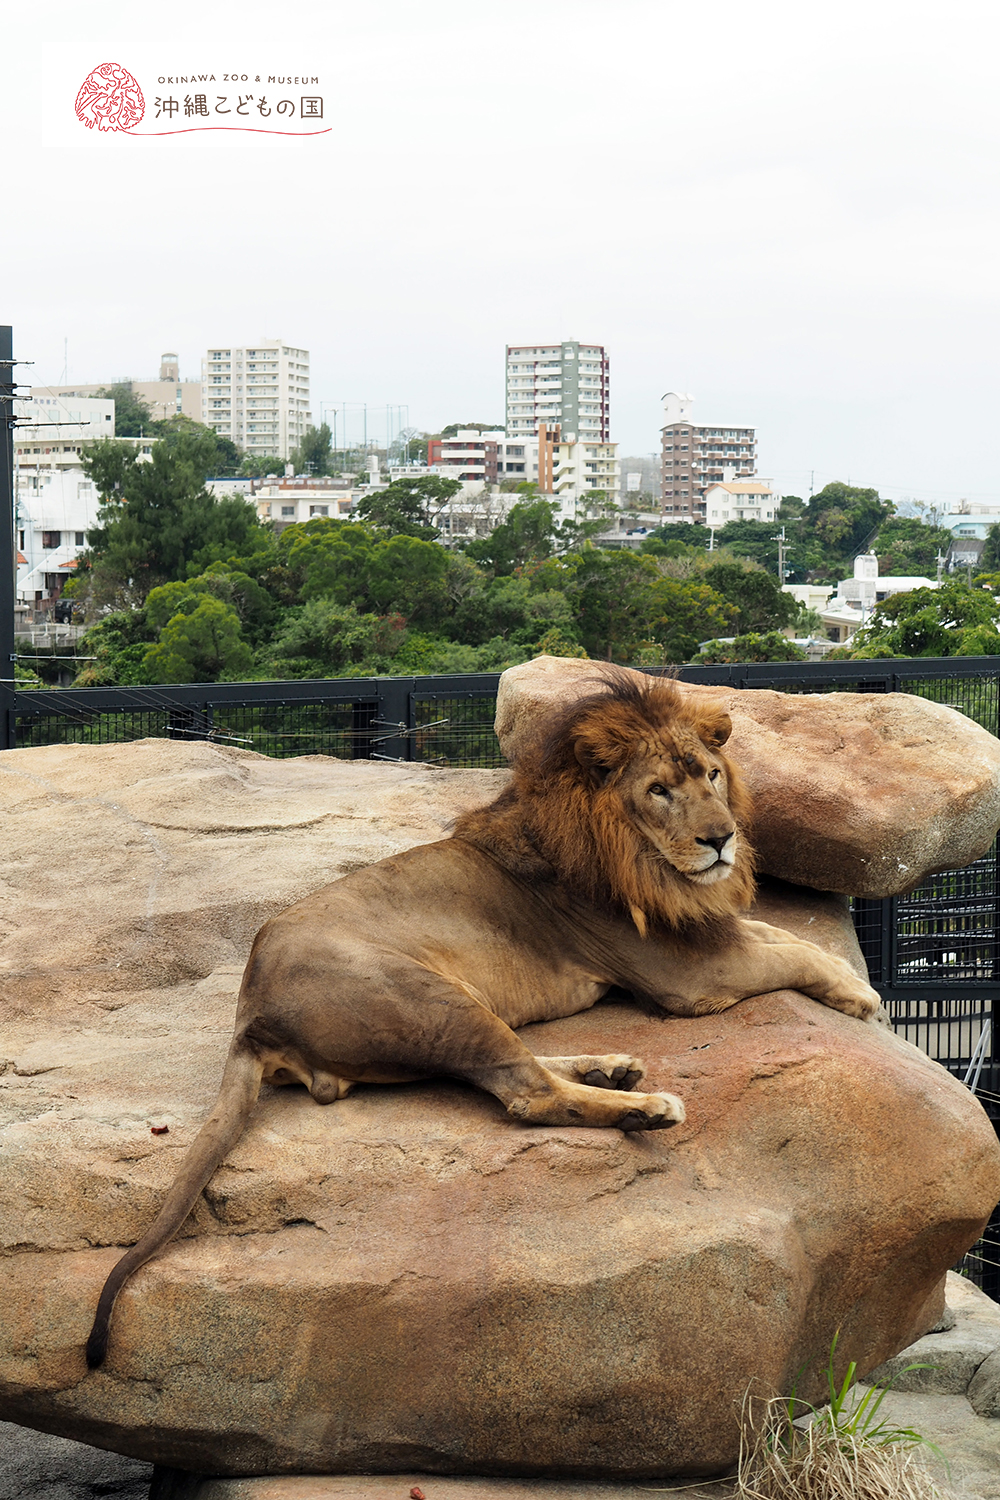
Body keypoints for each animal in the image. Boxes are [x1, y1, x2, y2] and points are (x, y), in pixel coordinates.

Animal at [89, 675, 881, 1368]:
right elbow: (789, 952)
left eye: (712, 775)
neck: (636, 854)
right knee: (525, 1093)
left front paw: (847, 983)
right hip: (436, 998)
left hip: (459, 1011)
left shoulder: (701, 933)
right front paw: (859, 995)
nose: (721, 839)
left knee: (517, 1069)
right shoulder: (683, 976)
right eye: (659, 790)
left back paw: (613, 1068)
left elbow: (783, 937)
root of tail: (250, 1009)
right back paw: (647, 1108)